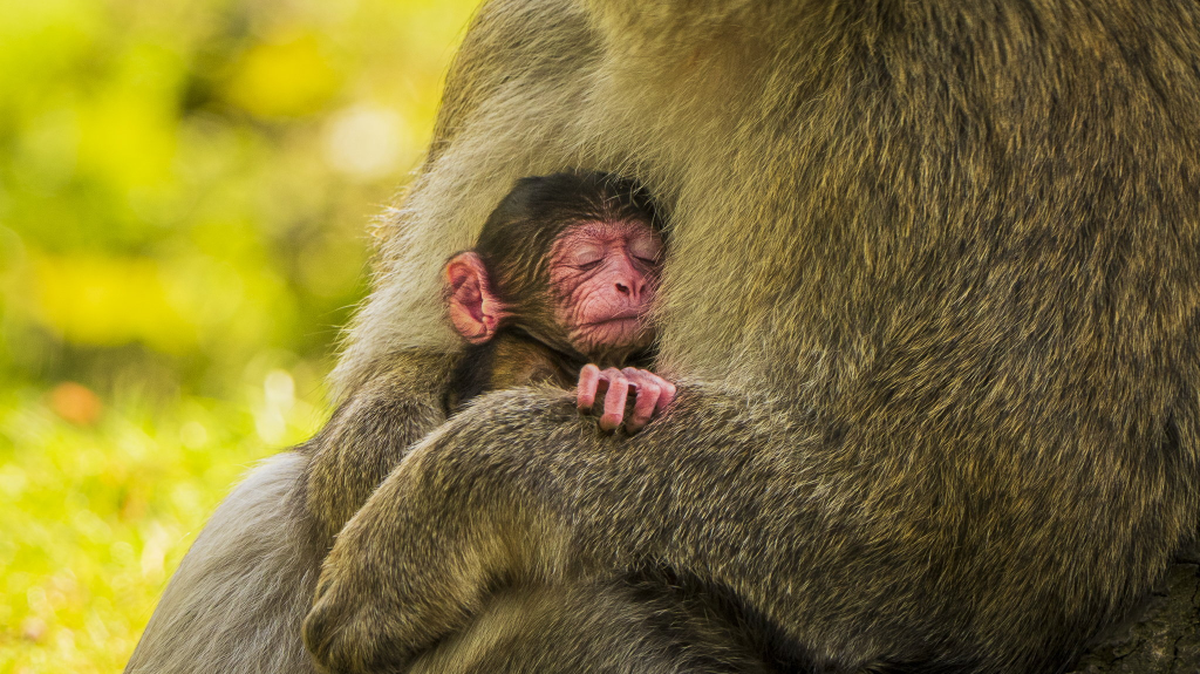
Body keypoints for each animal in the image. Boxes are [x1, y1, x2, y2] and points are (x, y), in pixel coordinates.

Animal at [127, 0, 1200, 673]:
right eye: (587, 258)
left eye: (638, 258)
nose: (618, 284)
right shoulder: (543, 31)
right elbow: (406, 365)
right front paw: (371, 452)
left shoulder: (997, 90)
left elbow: (985, 537)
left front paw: (459, 494)